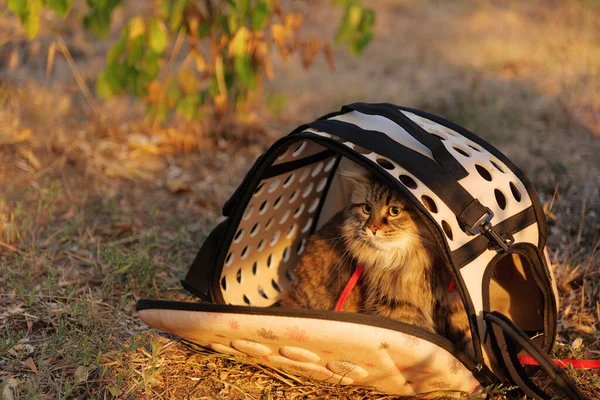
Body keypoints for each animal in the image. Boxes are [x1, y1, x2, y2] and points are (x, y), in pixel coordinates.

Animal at [280, 166, 474, 356]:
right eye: (367, 208)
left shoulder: (454, 307)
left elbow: (469, 336)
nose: (372, 228)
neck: (411, 261)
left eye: (394, 211)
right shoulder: (399, 310)